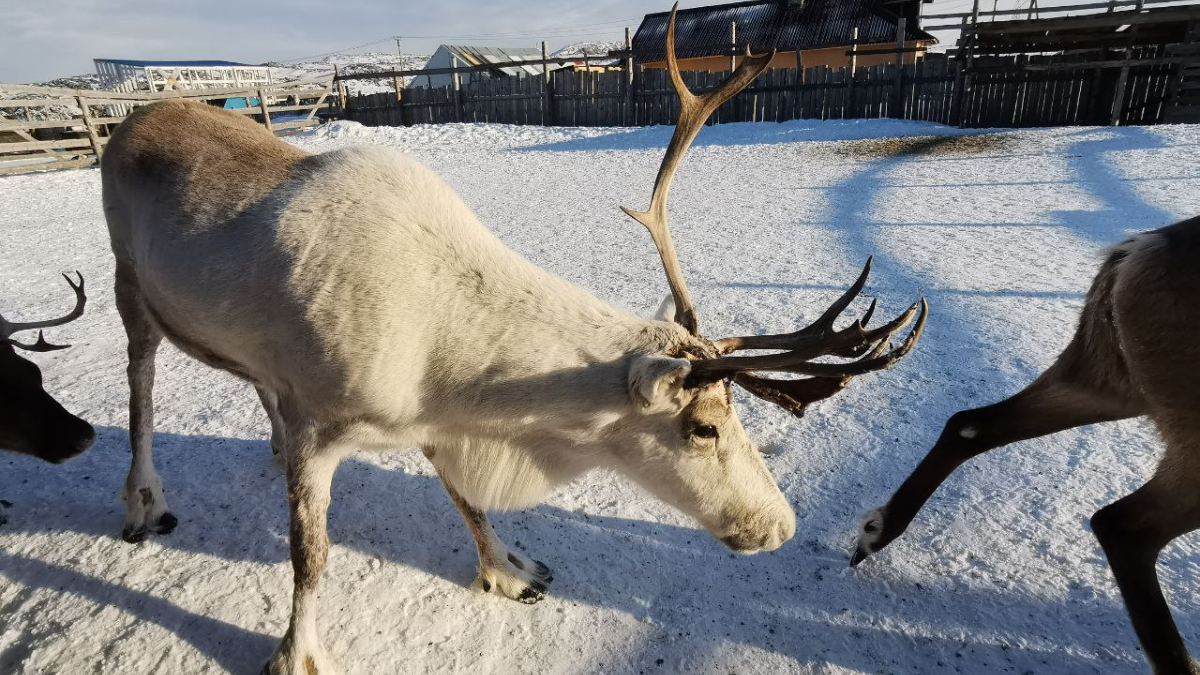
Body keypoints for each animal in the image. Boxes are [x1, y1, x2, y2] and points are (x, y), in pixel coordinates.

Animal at [98, 5, 925, 673]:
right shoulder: (319, 427)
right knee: (140, 381)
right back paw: (143, 500)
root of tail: (128, 122)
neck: (446, 358)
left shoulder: (437, 417)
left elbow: (467, 496)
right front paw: (296, 652)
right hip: (128, 285)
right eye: (702, 426)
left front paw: (508, 568)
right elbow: (311, 555)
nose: (780, 524)